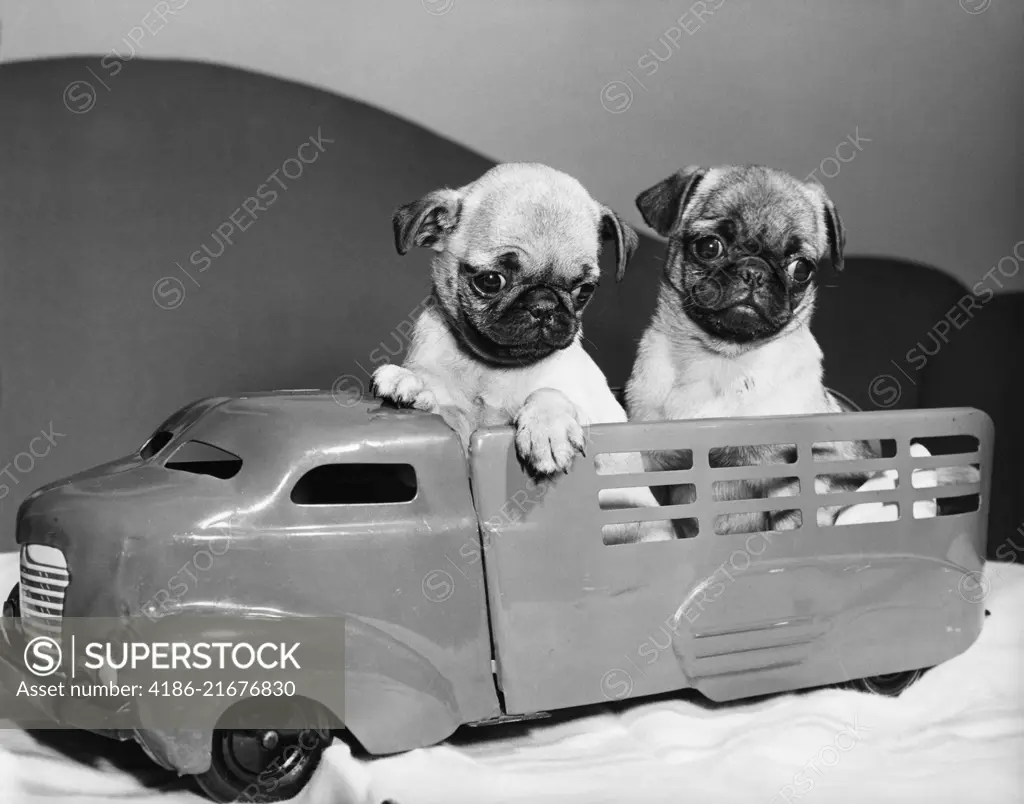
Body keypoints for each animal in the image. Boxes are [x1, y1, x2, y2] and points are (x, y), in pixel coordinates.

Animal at [372, 159, 675, 540]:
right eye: (490, 281)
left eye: (584, 291)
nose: (544, 305)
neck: (492, 366)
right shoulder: (463, 433)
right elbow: (441, 403)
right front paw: (408, 382)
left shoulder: (596, 416)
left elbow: (550, 393)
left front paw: (546, 429)